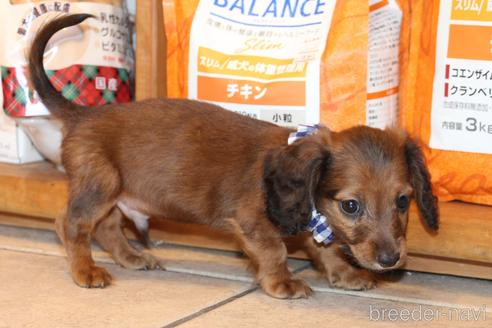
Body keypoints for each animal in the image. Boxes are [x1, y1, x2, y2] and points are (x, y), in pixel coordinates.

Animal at [29, 14, 438, 298]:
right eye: (351, 206)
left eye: (403, 201)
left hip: (115, 192)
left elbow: (326, 248)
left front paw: (347, 274)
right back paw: (85, 271)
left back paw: (133, 257)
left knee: (108, 227)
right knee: (71, 224)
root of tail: (83, 114)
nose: (391, 260)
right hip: (101, 184)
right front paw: (282, 283)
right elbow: (275, 250)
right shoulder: (252, 223)